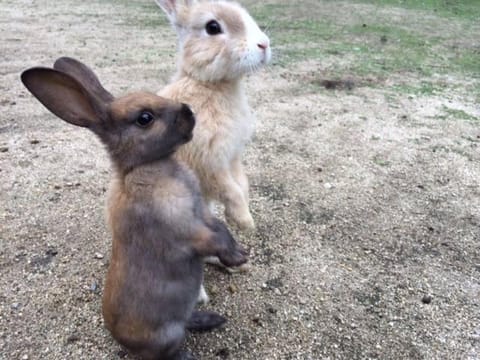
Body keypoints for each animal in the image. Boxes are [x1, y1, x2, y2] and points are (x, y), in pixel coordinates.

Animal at [21, 57, 248, 360]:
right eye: (144, 118)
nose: (189, 111)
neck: (148, 167)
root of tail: (120, 339)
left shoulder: (202, 215)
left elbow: (222, 228)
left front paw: (239, 254)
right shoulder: (184, 229)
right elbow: (213, 238)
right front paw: (237, 258)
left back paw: (212, 318)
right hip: (168, 333)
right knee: (169, 349)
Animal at [156, 0, 272, 231]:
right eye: (212, 27)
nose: (264, 45)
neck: (209, 84)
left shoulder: (232, 156)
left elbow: (242, 184)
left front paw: (239, 219)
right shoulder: (208, 162)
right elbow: (231, 190)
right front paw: (245, 221)